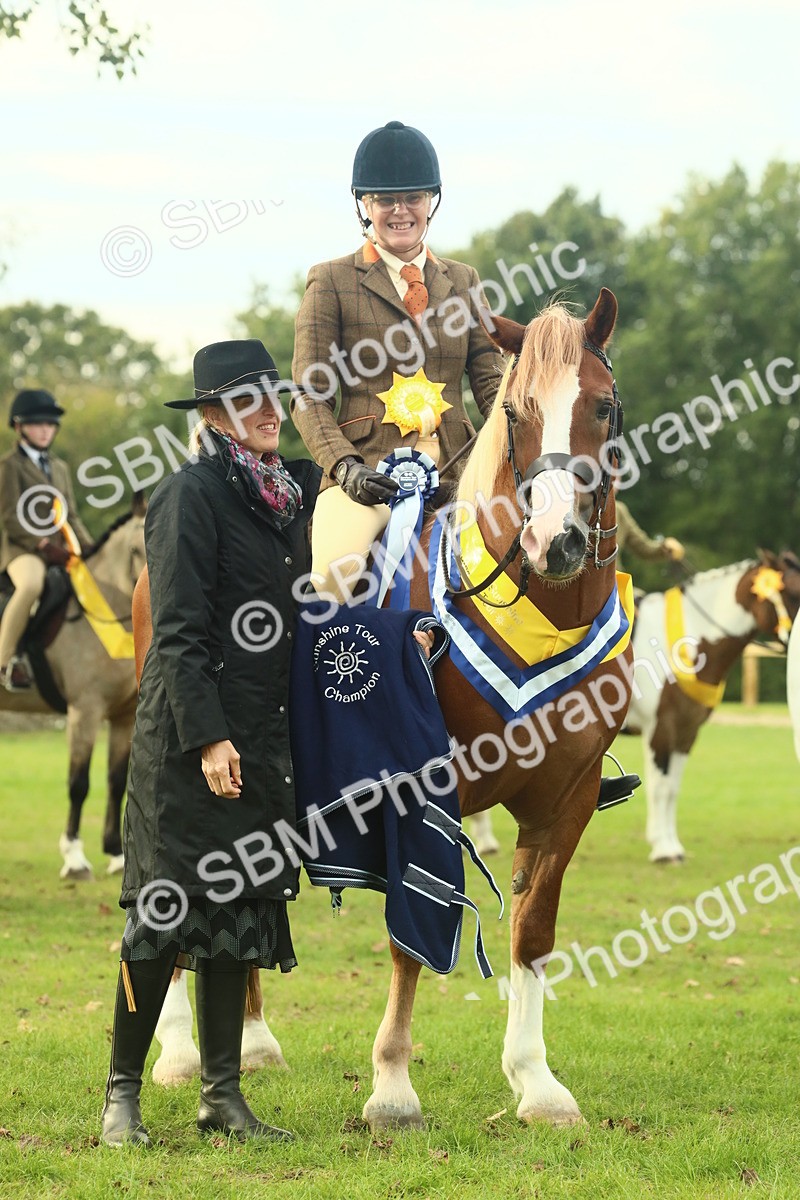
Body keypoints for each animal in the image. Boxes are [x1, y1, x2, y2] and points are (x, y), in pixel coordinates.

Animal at [1, 495, 146, 879]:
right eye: (135, 549)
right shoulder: (85, 710)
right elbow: (78, 784)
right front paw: (75, 857)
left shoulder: (124, 716)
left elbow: (116, 780)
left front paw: (115, 854)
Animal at [135, 289, 637, 1127]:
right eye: (517, 412)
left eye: (602, 405)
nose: (555, 543)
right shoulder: (417, 789)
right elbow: (409, 940)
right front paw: (393, 1089)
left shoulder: (564, 799)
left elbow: (533, 932)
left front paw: (536, 1084)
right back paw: (176, 1051)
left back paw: (256, 1039)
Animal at [627, 551, 800, 863]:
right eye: (792, 592)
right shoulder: (660, 730)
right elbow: (659, 788)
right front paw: (662, 850)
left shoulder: (686, 732)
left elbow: (672, 789)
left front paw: (673, 846)